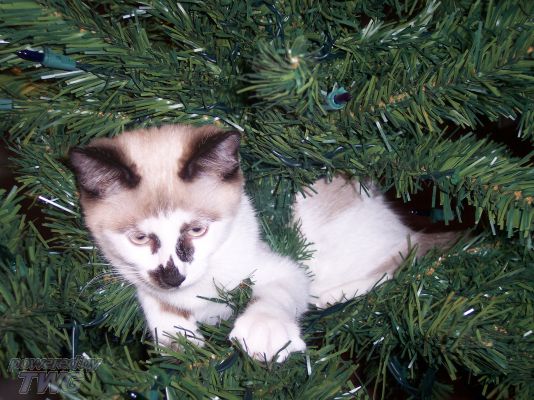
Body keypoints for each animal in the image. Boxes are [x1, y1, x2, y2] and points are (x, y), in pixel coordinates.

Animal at [69, 124, 450, 362]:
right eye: (138, 237)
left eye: (197, 230)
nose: (173, 277)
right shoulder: (142, 277)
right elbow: (156, 302)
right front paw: (180, 345)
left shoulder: (278, 265)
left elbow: (277, 290)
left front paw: (264, 330)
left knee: (399, 263)